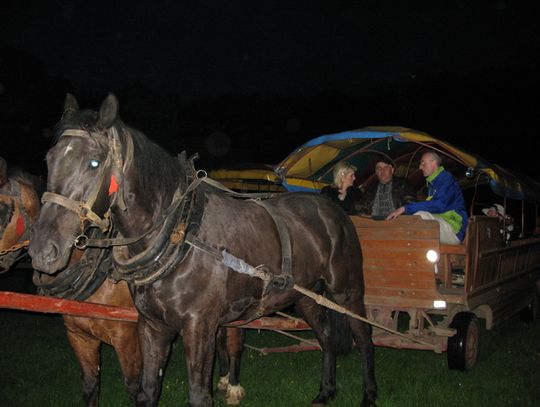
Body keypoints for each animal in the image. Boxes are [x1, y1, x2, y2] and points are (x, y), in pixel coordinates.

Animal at [29, 95, 376, 407]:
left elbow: (198, 395)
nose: (43, 249)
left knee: (364, 338)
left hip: (347, 292)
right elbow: (147, 392)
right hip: (306, 297)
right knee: (326, 337)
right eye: (48, 159)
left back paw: (369, 395)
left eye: (94, 162)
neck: (179, 236)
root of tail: (332, 208)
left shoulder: (199, 328)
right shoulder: (151, 326)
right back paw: (325, 393)